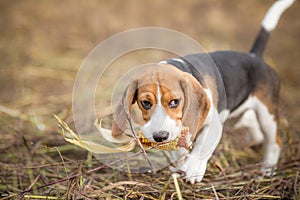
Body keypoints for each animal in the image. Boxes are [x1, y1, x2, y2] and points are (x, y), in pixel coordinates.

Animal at [111, 0, 294, 184]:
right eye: (146, 103)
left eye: (174, 102)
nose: (160, 136)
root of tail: (254, 57)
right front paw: (179, 164)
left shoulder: (213, 122)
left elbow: (202, 145)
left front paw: (193, 168)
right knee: (250, 122)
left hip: (267, 115)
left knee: (275, 142)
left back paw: (267, 169)